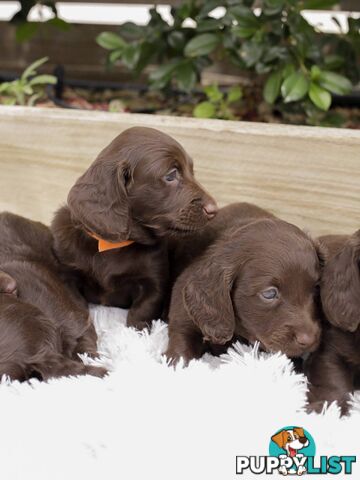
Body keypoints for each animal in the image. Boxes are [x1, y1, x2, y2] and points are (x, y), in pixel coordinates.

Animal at [52, 127, 217, 330]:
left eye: (192, 171)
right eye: (171, 175)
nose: (214, 209)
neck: (112, 245)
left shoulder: (153, 284)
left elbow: (141, 312)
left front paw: (136, 333)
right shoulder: (68, 276)